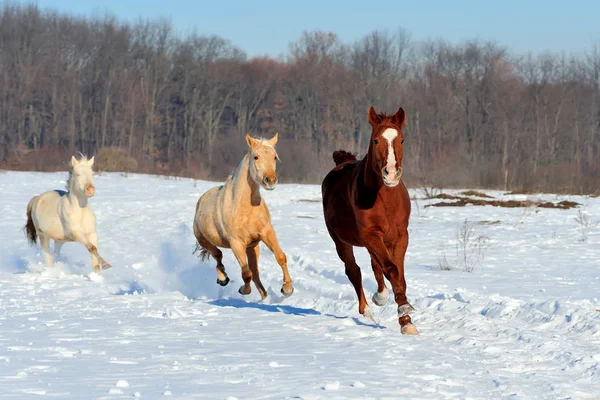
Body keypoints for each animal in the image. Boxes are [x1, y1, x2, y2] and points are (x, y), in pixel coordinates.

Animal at [193, 133, 294, 298]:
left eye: (274, 157)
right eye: (256, 157)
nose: (270, 181)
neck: (244, 208)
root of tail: (201, 201)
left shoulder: (266, 232)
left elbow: (280, 257)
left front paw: (287, 289)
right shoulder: (236, 243)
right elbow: (246, 273)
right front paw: (243, 290)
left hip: (252, 247)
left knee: (255, 272)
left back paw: (264, 296)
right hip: (204, 241)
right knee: (218, 255)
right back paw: (222, 279)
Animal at [324, 106, 418, 334]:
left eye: (401, 140)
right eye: (376, 140)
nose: (391, 174)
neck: (385, 200)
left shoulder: (400, 237)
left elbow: (397, 273)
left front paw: (407, 322)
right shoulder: (371, 235)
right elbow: (391, 269)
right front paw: (403, 309)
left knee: (375, 265)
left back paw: (380, 297)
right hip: (341, 241)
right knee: (353, 270)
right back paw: (367, 309)